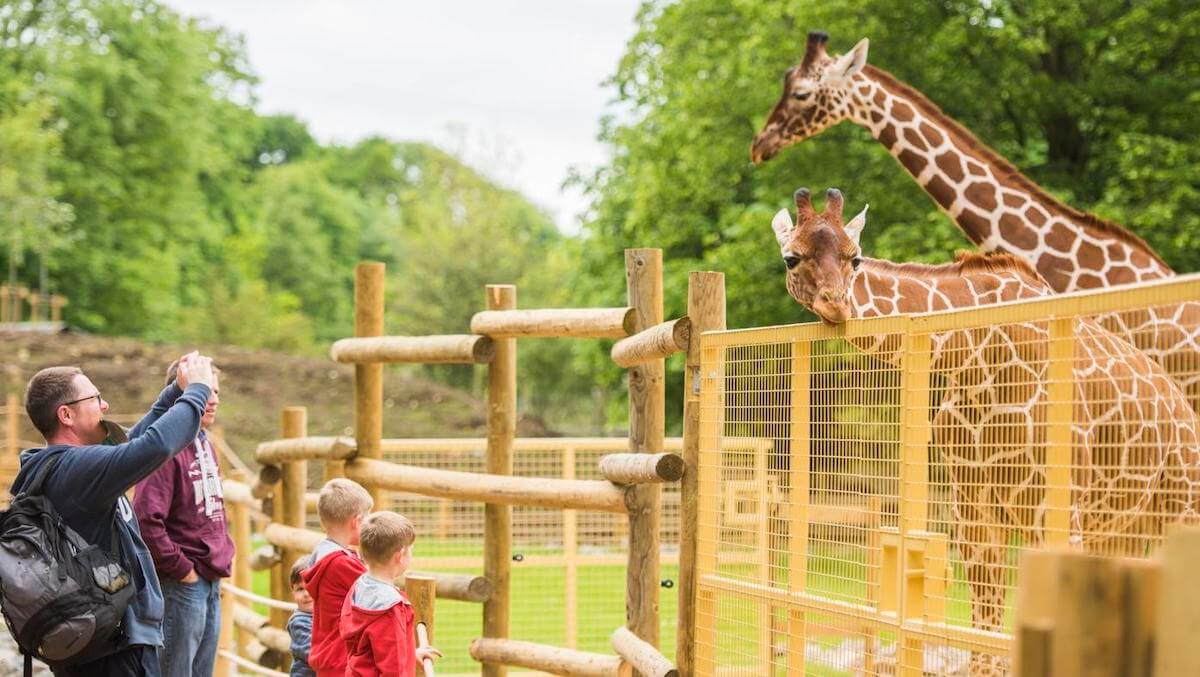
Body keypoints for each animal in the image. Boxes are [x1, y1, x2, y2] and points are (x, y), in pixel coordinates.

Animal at [770, 187, 1200, 673]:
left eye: (855, 256)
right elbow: (984, 642)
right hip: (1121, 528)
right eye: (791, 257)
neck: (974, 358)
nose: (837, 304)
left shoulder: (1052, 509)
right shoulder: (973, 510)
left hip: (1177, 508)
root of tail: (1183, 408)